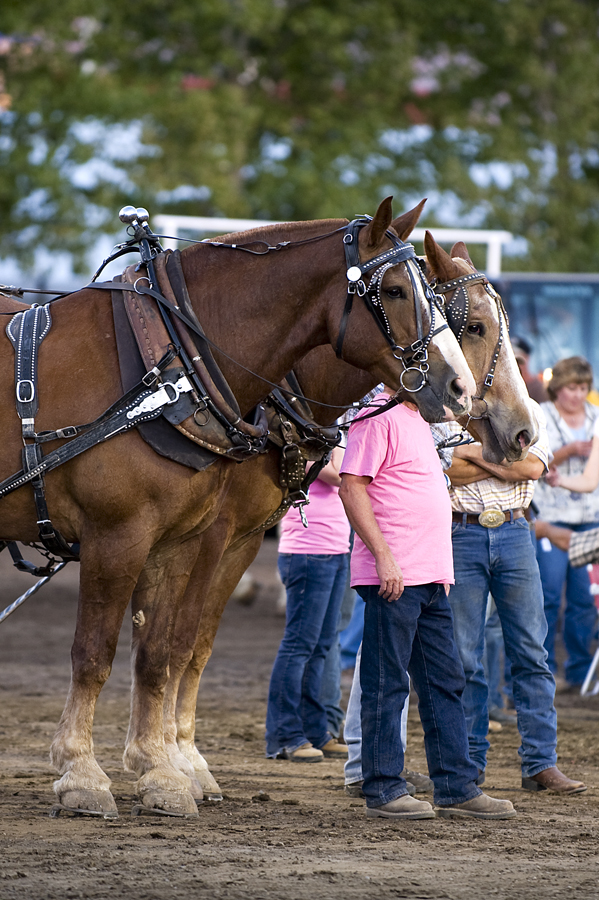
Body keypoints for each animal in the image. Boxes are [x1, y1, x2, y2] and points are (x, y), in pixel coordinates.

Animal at [0, 198, 476, 818]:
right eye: (394, 291)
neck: (174, 368)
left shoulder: (179, 543)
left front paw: (162, 772)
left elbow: (163, 652)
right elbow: (97, 651)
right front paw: (83, 772)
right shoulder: (122, 535)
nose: (461, 388)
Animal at [157, 231, 537, 803]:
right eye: (474, 325)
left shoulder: (232, 538)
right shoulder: (204, 535)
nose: (525, 431)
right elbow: (174, 642)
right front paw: (167, 765)